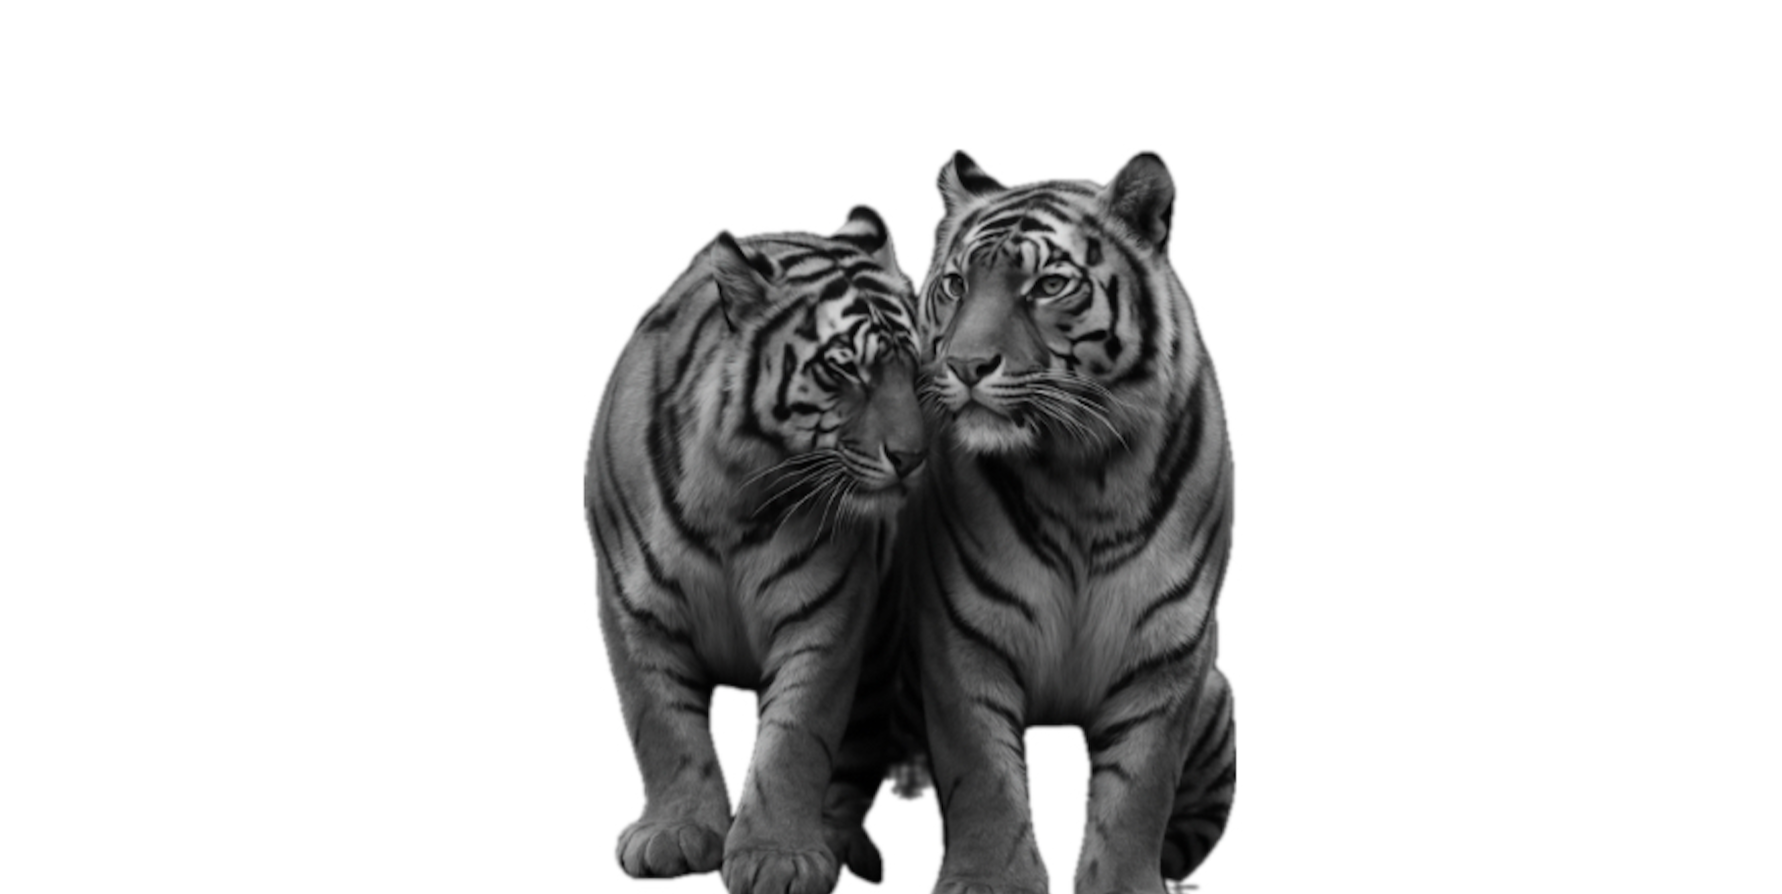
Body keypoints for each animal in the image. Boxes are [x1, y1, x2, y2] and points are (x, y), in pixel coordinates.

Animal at [583, 207, 929, 894]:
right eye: (843, 369)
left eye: (916, 369)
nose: (912, 457)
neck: (736, 492)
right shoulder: (631, 605)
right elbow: (660, 724)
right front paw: (674, 833)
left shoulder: (827, 613)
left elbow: (797, 738)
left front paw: (778, 855)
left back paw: (838, 840)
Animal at [900, 152, 1238, 894]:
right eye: (956, 285)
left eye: (1049, 285)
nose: (965, 366)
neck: (1080, 473)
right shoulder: (961, 632)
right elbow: (982, 772)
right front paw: (988, 881)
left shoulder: (1169, 646)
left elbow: (1140, 791)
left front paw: (1127, 884)